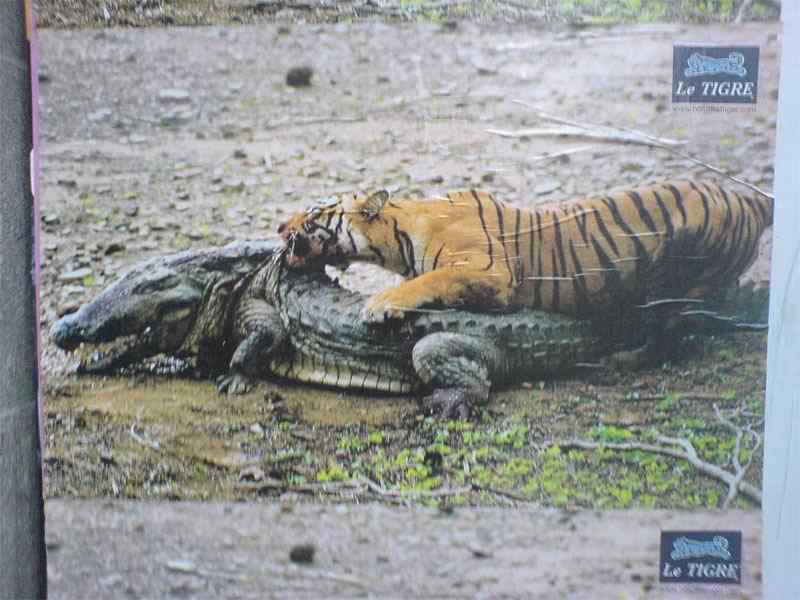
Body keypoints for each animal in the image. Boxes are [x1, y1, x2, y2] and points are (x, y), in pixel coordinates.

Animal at [276, 181, 773, 337]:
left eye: (315, 214)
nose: (279, 228)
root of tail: (745, 196)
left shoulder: (490, 272)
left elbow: (426, 281)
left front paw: (380, 305)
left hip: (689, 276)